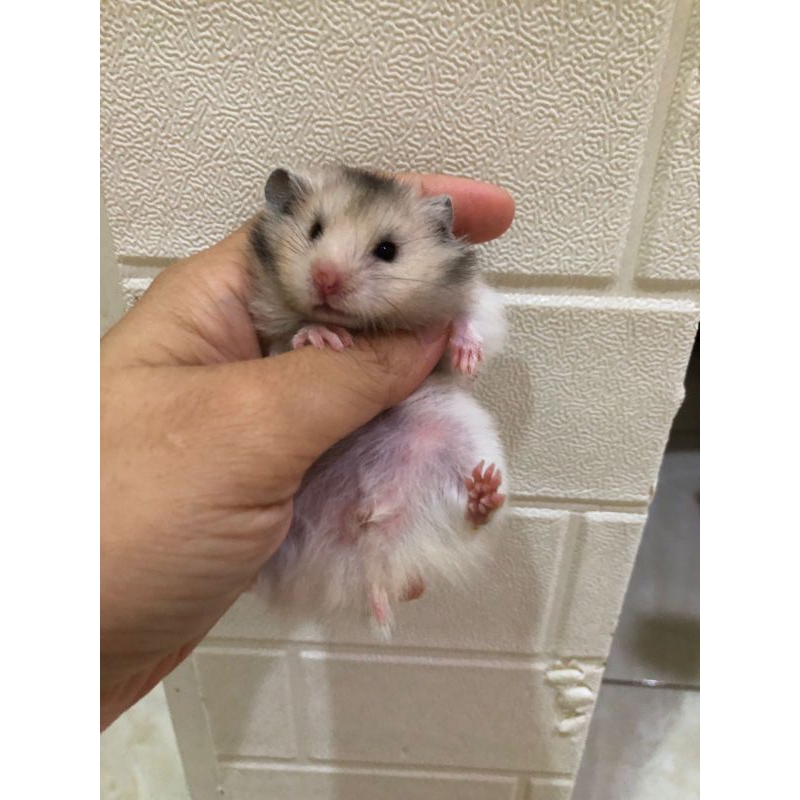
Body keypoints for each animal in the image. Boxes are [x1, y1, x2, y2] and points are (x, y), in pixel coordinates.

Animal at [249, 165, 508, 633]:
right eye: (314, 230)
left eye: (387, 250)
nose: (325, 278)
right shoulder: (269, 344)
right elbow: (292, 337)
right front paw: (322, 336)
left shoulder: (476, 305)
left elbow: (467, 321)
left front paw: (468, 360)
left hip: (461, 448)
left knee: (469, 518)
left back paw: (482, 492)